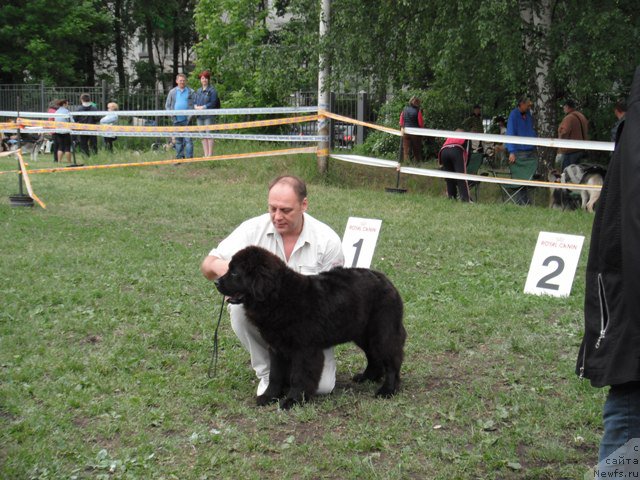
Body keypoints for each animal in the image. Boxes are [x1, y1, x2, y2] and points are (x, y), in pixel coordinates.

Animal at [215, 248, 404, 408]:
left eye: (234, 273)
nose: (216, 282)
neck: (279, 298)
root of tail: (386, 280)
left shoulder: (304, 349)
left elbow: (299, 376)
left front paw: (292, 400)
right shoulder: (276, 347)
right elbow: (275, 375)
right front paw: (269, 396)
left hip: (382, 332)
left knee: (391, 360)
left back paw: (387, 390)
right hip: (362, 334)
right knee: (373, 355)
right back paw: (368, 377)